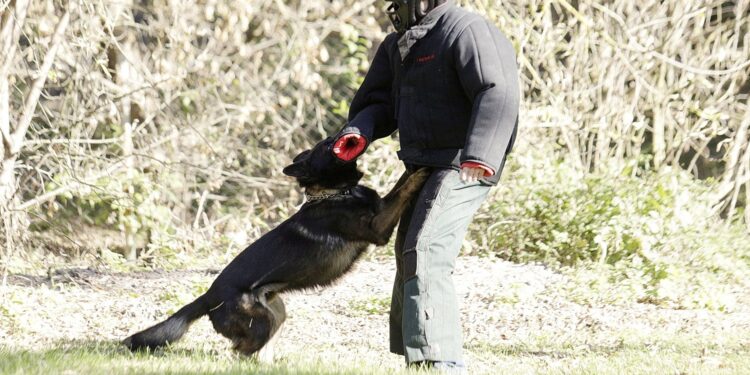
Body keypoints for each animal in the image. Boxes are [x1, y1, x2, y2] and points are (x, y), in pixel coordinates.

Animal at [122, 139, 428, 358]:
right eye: (326, 146)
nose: (342, 134)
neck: (334, 193)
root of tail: (208, 297)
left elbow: (400, 183)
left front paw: (413, 166)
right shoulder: (379, 227)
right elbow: (403, 189)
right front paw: (423, 170)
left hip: (276, 312)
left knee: (255, 350)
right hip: (261, 321)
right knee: (239, 351)